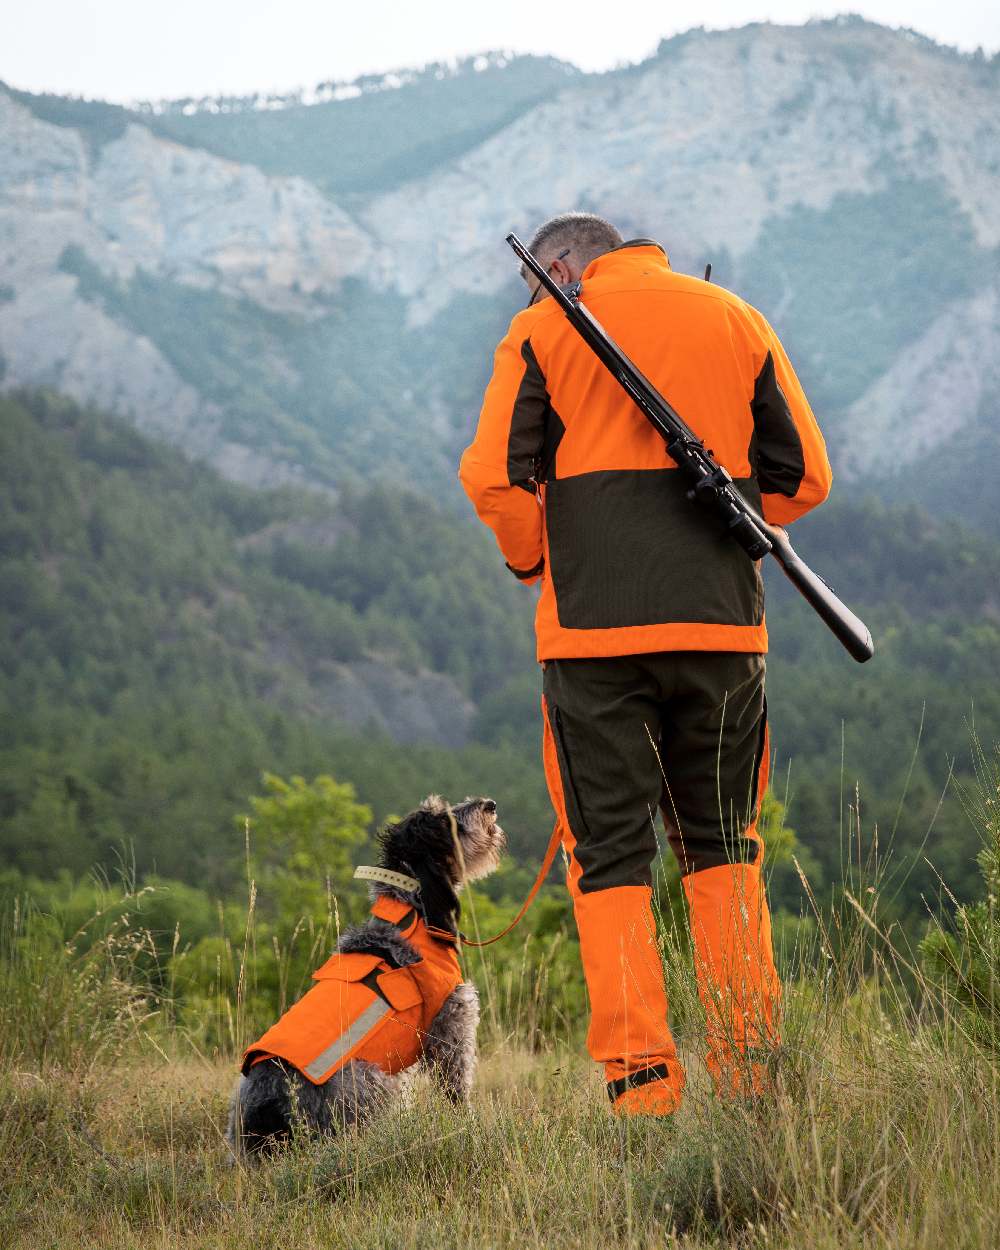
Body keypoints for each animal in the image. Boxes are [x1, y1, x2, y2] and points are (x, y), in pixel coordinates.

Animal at [230, 795, 505, 1155]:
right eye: (445, 820)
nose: (489, 804)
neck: (412, 915)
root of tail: (270, 1119)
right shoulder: (452, 1029)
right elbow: (457, 1094)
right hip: (374, 1082)